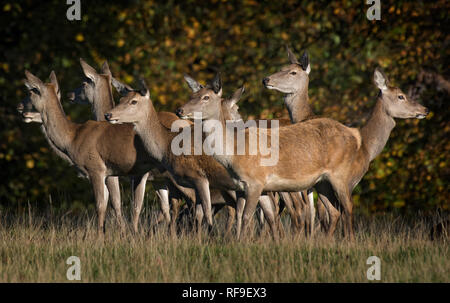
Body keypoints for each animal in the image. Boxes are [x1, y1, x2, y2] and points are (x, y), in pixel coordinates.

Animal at [176, 70, 428, 241]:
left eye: (206, 97)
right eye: (193, 94)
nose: (180, 109)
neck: (235, 153)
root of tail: (355, 137)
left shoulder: (256, 181)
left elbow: (246, 217)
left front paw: (240, 245)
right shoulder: (258, 187)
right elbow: (261, 217)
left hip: (341, 176)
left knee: (347, 207)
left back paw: (349, 242)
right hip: (323, 183)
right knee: (334, 211)